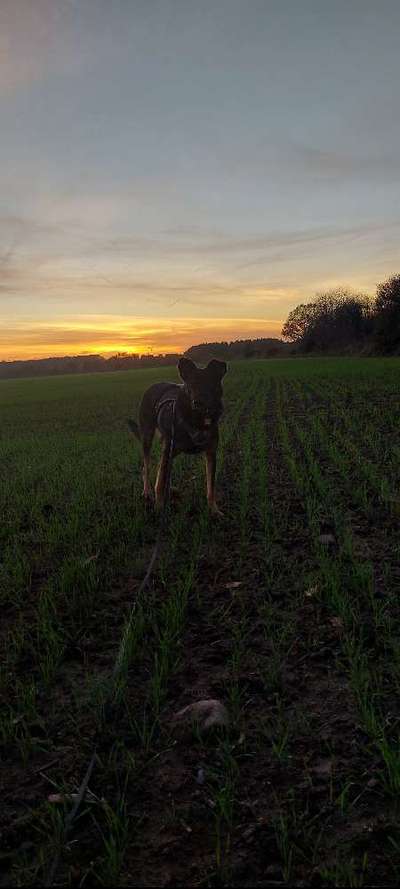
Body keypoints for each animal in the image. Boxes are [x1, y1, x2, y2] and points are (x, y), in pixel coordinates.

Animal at [129, 358, 227, 512]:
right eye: (191, 384)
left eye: (210, 383)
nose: (198, 402)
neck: (197, 419)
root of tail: (153, 385)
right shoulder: (168, 450)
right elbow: (160, 482)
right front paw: (159, 508)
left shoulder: (211, 453)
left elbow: (211, 486)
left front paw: (213, 510)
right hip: (148, 439)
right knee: (147, 467)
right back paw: (147, 492)